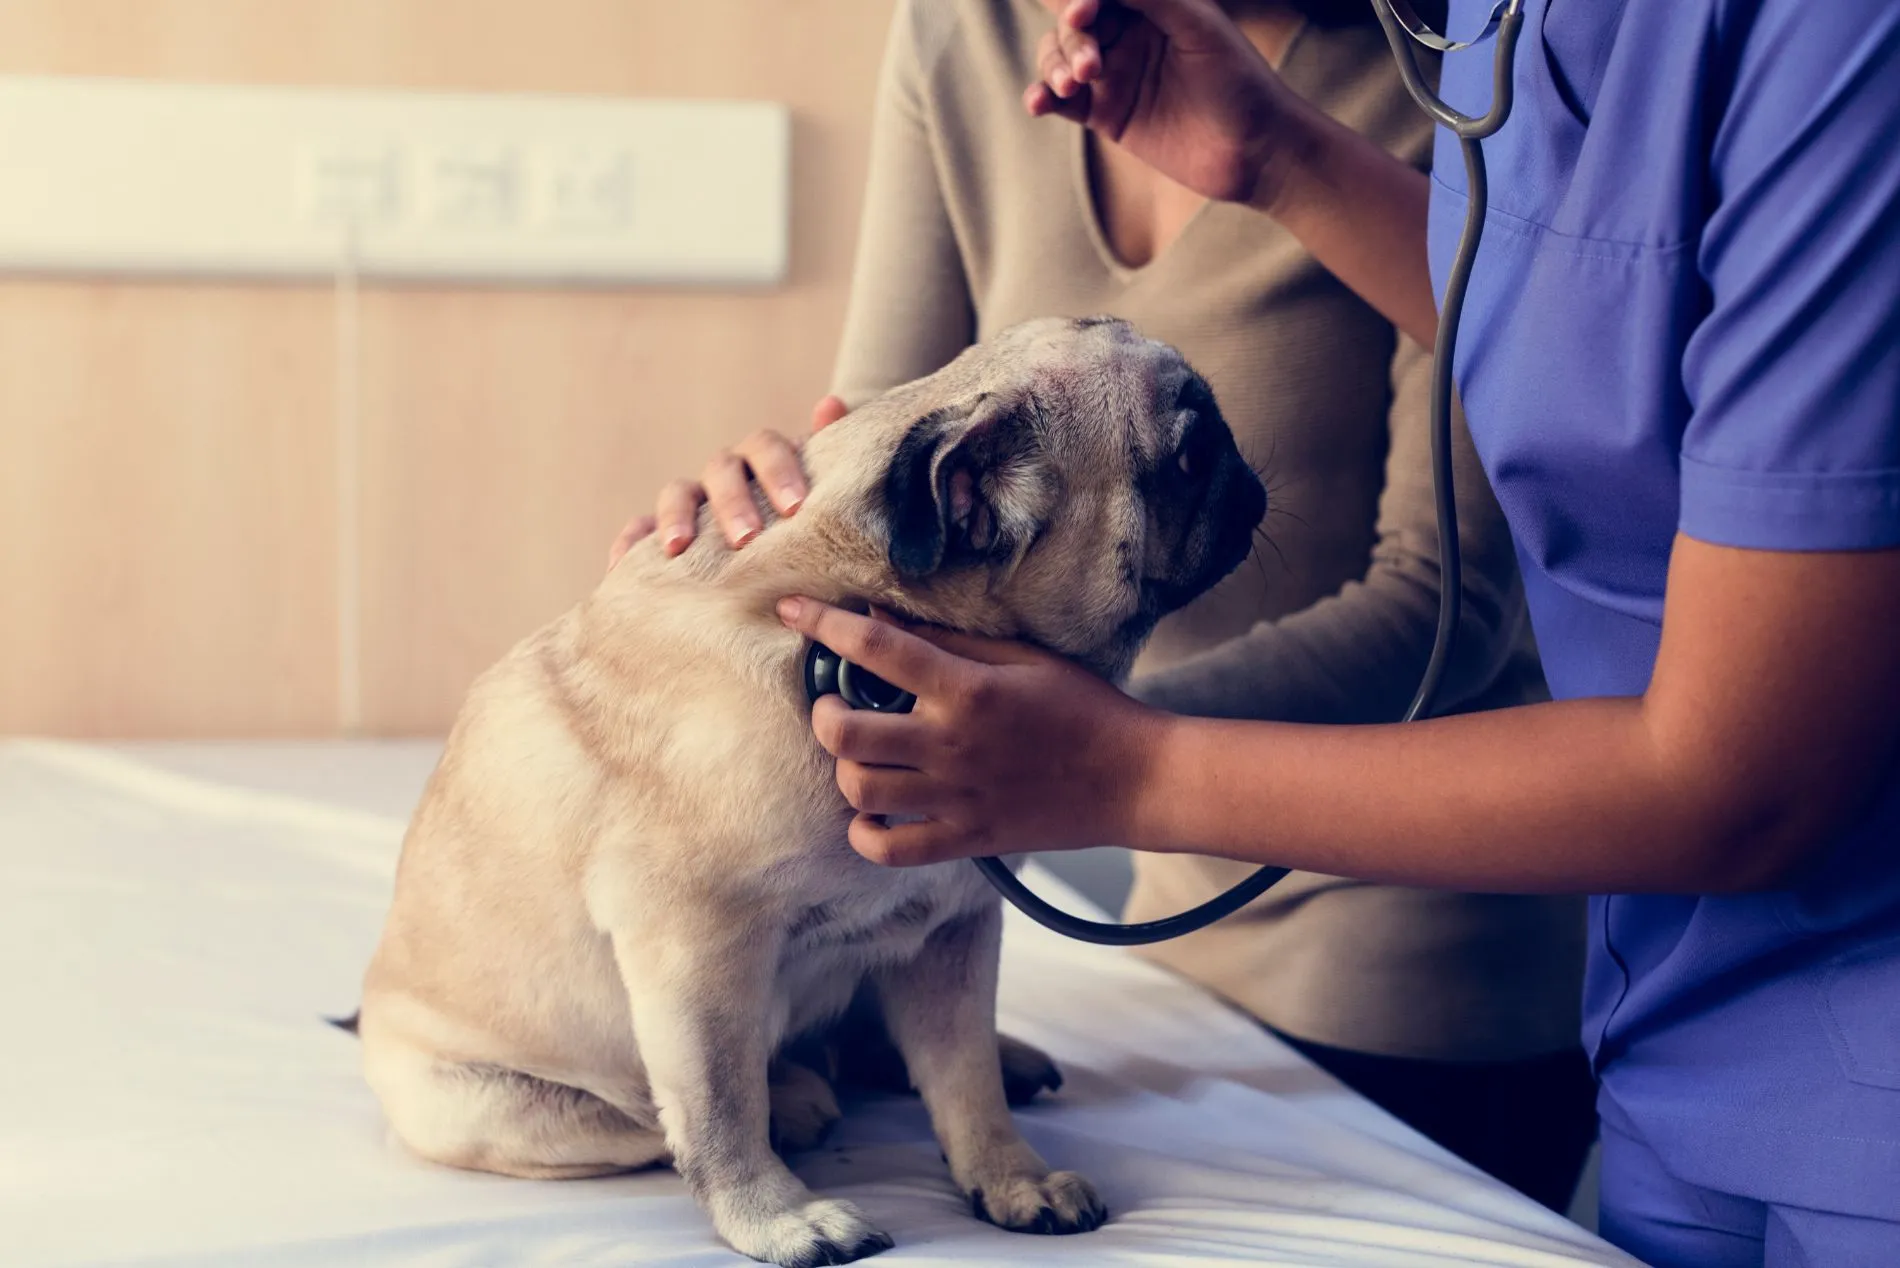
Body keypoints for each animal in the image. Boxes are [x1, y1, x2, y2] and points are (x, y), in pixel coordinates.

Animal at [349, 317, 1269, 1268]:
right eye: (1191, 455)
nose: (1249, 475)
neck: (859, 608)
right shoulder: (697, 951)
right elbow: (720, 1108)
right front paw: (778, 1217)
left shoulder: (955, 929)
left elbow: (965, 1080)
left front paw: (1012, 1177)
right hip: (501, 1105)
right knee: (658, 1120)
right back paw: (792, 1096)